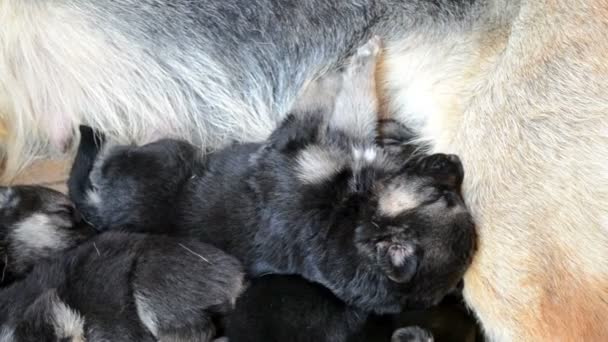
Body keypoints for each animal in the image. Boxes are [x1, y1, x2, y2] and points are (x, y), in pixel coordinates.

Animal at [71, 36, 478, 316]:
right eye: (445, 196)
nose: (456, 160)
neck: (351, 221)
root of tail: (98, 212)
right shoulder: (322, 142)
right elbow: (354, 107)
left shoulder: (299, 139)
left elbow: (345, 99)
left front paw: (358, 57)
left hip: (168, 154)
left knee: (109, 154)